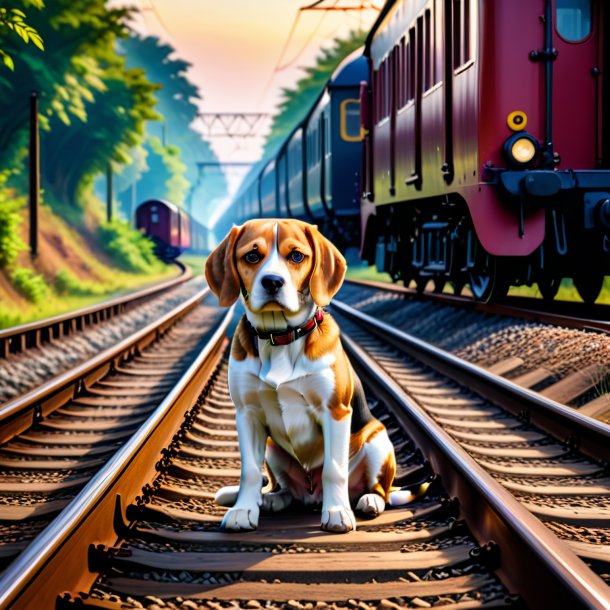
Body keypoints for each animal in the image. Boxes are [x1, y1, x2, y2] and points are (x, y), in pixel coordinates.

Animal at [204, 220, 396, 532]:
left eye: (296, 256)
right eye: (252, 256)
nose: (272, 282)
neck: (279, 336)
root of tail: (312, 495)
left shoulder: (335, 412)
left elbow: (334, 469)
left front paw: (337, 512)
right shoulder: (247, 413)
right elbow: (250, 471)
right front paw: (243, 510)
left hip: (378, 440)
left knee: (380, 488)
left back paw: (369, 500)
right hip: (272, 449)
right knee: (285, 490)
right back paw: (273, 499)